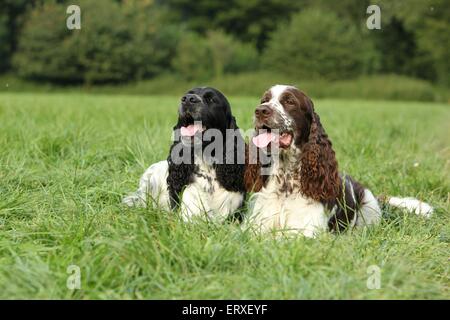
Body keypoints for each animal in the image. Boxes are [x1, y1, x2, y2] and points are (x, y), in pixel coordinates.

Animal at [244, 85, 434, 238]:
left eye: (289, 101)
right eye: (264, 100)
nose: (260, 111)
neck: (286, 185)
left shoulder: (306, 233)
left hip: (369, 209)